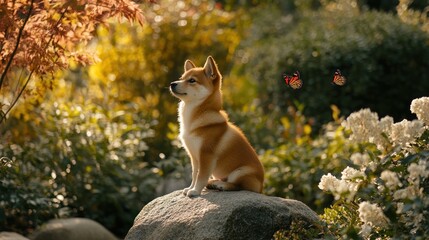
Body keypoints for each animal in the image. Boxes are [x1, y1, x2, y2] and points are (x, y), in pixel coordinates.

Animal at [168, 55, 262, 197]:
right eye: (181, 78)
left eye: (192, 80)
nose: (172, 84)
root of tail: (262, 187)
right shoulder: (194, 157)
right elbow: (194, 175)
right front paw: (190, 187)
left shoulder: (206, 155)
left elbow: (201, 176)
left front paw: (195, 191)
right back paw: (214, 182)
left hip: (240, 172)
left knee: (239, 186)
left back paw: (223, 185)